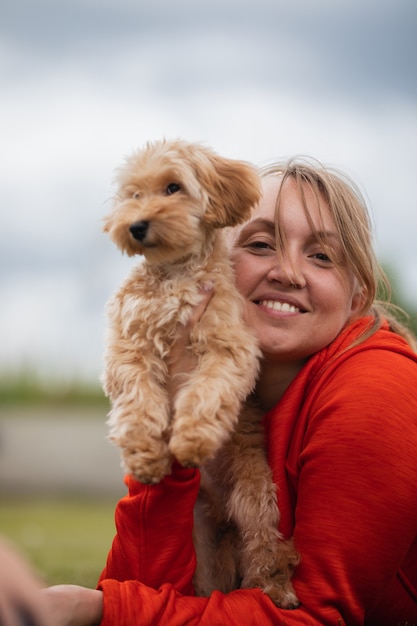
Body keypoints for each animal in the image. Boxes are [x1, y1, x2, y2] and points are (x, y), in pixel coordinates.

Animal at [103, 138, 300, 604]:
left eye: (173, 187)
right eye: (133, 194)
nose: (136, 226)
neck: (175, 275)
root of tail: (220, 513)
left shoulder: (228, 348)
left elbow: (205, 393)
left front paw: (191, 441)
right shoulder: (128, 348)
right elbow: (138, 402)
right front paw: (146, 454)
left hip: (255, 497)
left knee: (266, 546)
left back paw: (277, 588)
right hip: (201, 546)